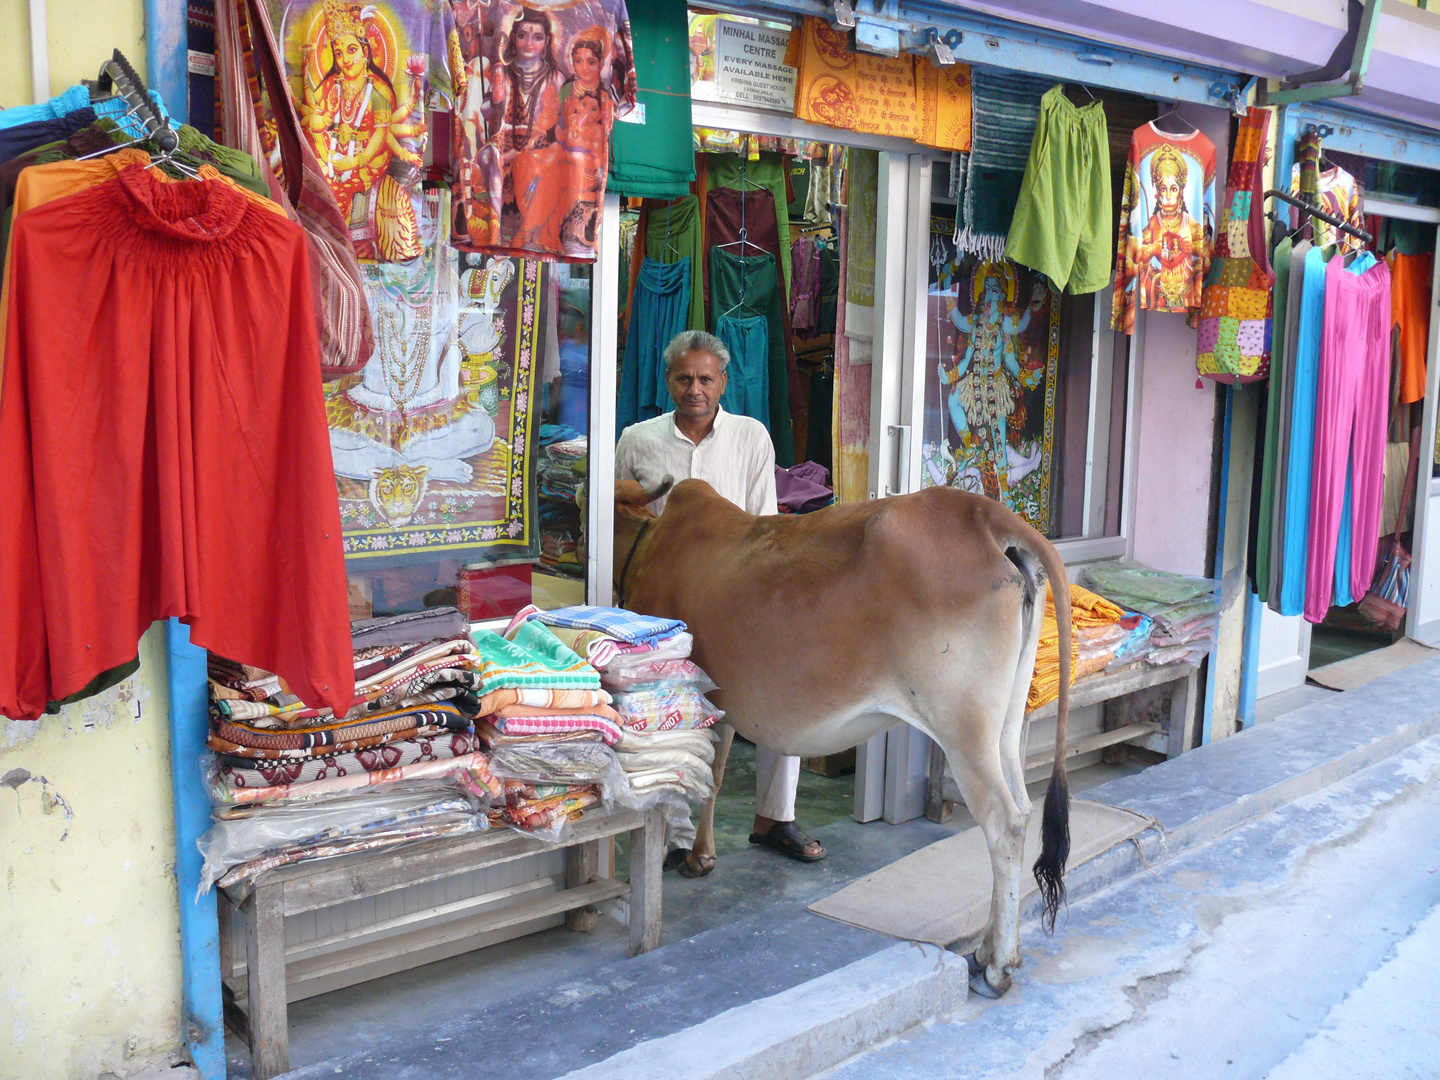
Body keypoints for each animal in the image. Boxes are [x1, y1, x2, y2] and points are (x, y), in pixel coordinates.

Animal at [610, 478, 1071, 1002]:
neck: (649, 542)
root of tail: (986, 515)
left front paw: (677, 857)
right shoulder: (720, 705)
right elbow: (716, 774)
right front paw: (701, 855)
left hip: (964, 727)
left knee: (1005, 823)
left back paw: (997, 965)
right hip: (1005, 724)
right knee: (1024, 806)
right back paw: (991, 950)